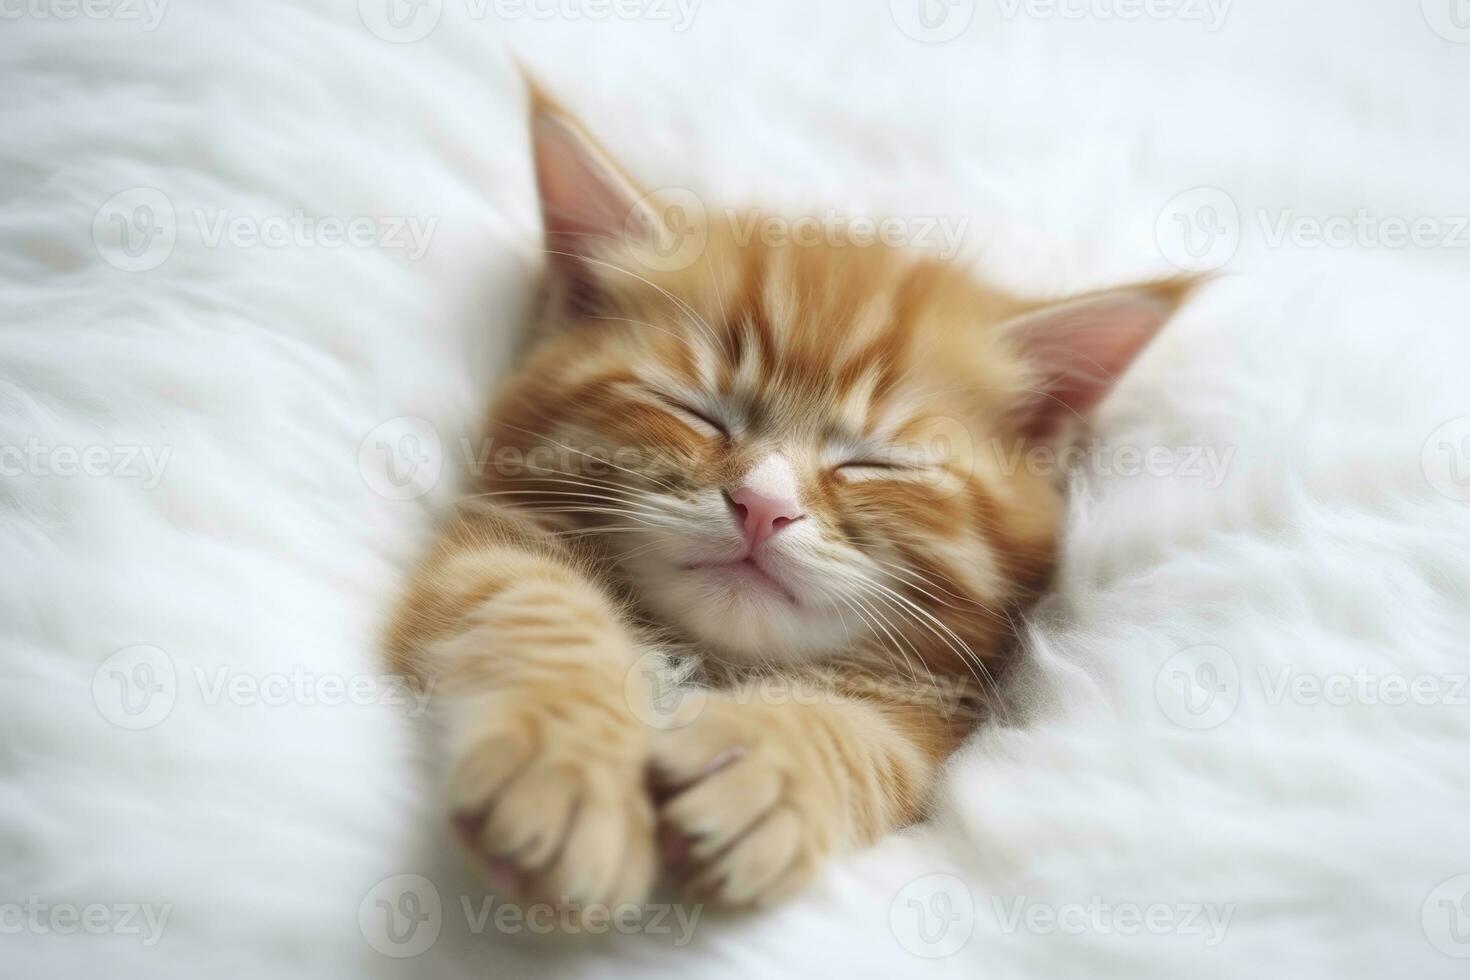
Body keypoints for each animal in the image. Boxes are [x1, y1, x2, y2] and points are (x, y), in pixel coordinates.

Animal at [391, 80, 1193, 916]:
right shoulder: (488, 541)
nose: (761, 506)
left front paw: (768, 768)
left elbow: (862, 737)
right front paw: (568, 765)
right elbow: (535, 603)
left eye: (874, 462)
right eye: (696, 411)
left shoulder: (932, 720)